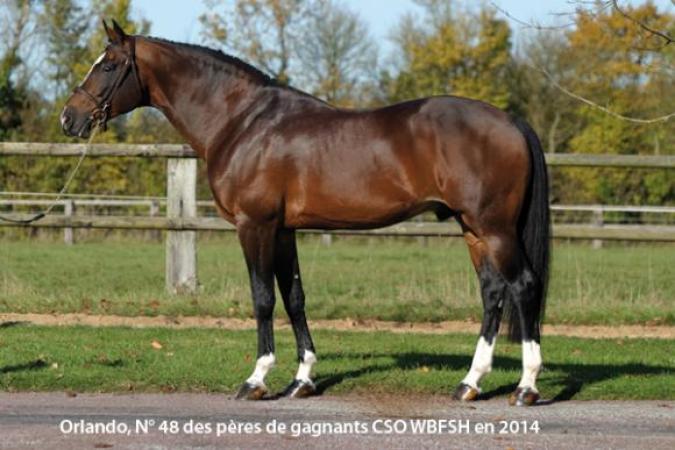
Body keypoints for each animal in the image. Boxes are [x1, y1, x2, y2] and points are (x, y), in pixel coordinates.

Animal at [61, 20, 550, 406]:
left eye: (107, 65)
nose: (70, 118)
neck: (243, 122)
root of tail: (511, 121)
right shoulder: (283, 231)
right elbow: (294, 297)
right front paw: (303, 380)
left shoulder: (254, 226)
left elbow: (262, 298)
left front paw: (256, 379)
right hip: (473, 229)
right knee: (492, 292)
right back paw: (470, 382)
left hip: (494, 228)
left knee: (523, 286)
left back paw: (526, 387)